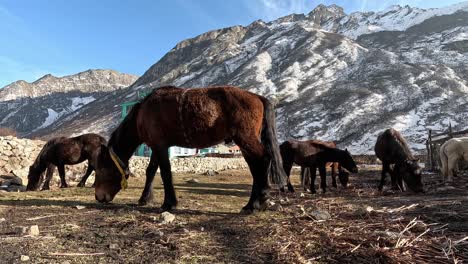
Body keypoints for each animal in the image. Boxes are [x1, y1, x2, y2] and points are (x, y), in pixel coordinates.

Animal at [93, 85, 288, 213]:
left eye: (101, 169)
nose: (99, 197)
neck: (142, 115)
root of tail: (257, 97)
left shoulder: (161, 146)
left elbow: (165, 173)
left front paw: (169, 203)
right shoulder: (156, 146)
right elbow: (151, 171)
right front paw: (145, 198)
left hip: (246, 139)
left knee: (263, 159)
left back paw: (260, 200)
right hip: (244, 143)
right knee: (255, 167)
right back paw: (251, 204)